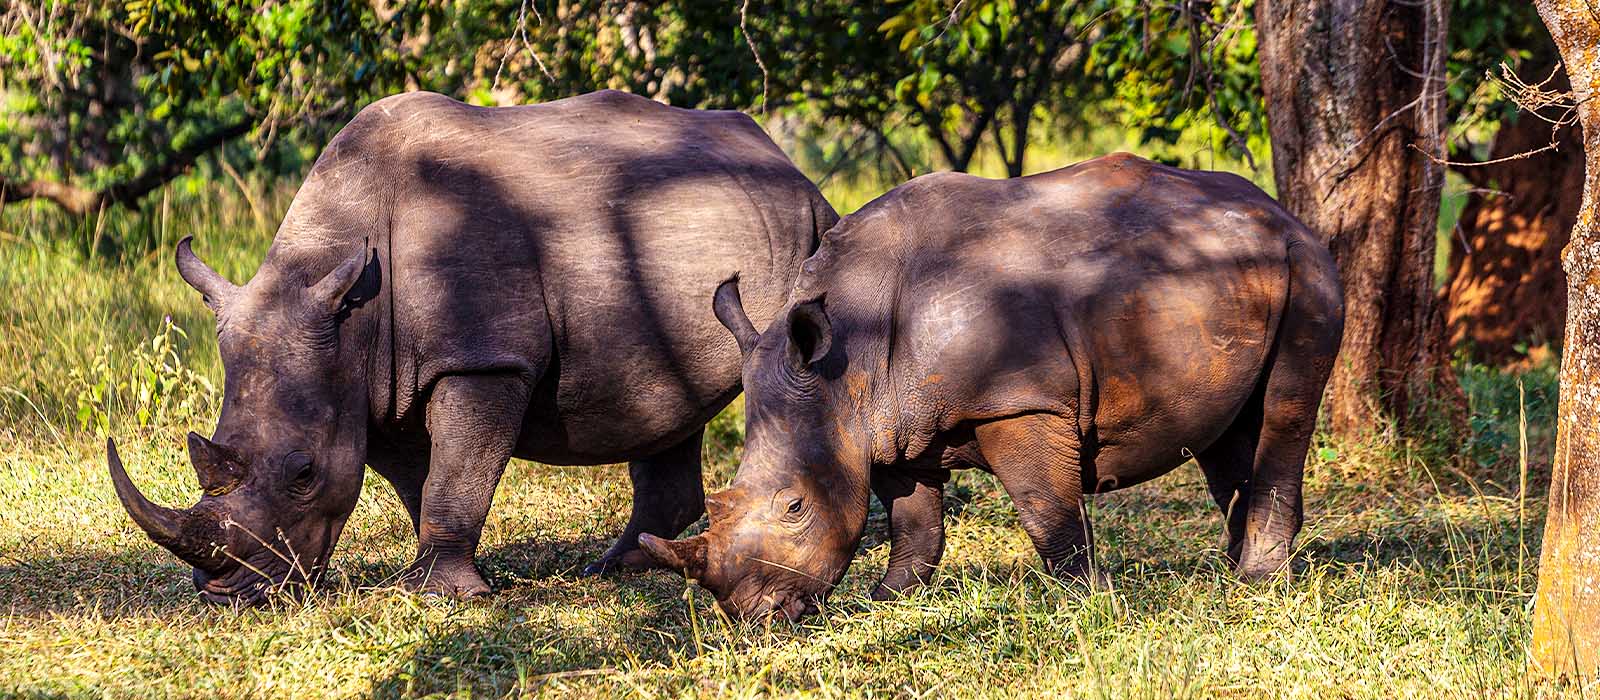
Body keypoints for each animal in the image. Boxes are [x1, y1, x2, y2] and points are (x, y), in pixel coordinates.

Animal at [106, 89, 837, 603]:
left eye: (303, 473)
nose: (227, 596)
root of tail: (788, 164)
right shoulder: (374, 382)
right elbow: (421, 479)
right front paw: (428, 577)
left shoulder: (482, 359)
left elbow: (456, 473)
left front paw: (443, 597)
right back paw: (616, 568)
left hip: (807, 235)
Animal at [641, 154, 1344, 619]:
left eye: (794, 508)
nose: (751, 618)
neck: (849, 355)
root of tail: (1286, 215)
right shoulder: (886, 424)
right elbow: (913, 524)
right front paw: (886, 602)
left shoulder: (1019, 403)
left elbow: (1046, 510)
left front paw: (1089, 603)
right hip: (1232, 279)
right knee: (1226, 435)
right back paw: (1233, 575)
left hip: (1307, 270)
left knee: (1284, 412)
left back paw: (1257, 582)